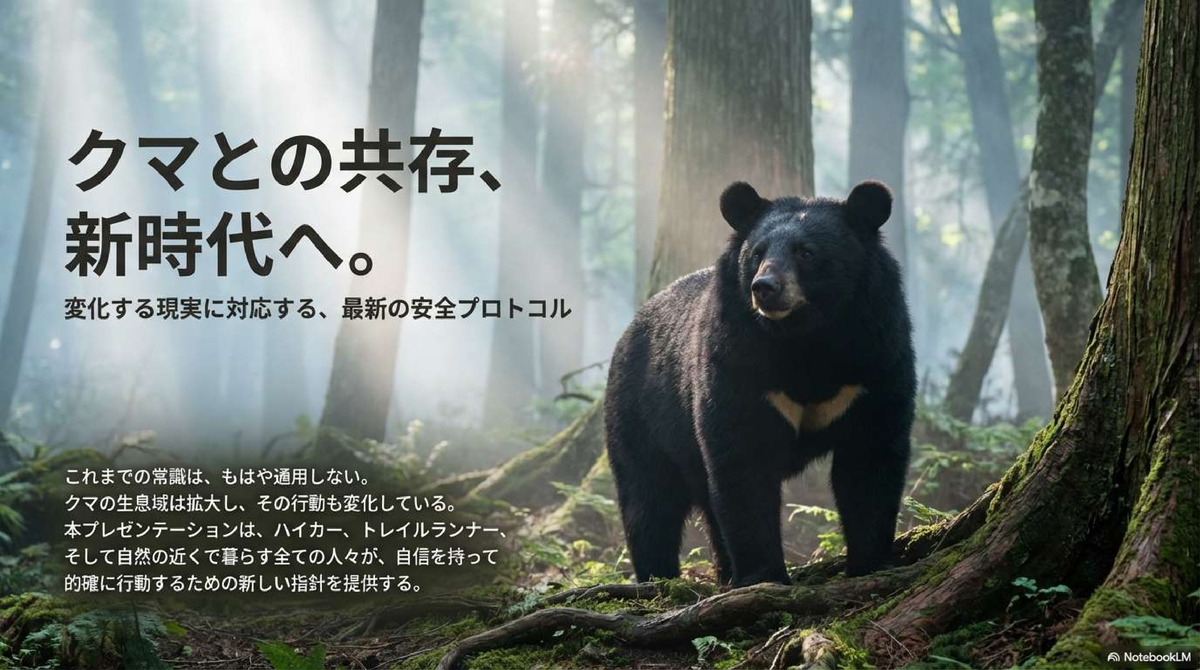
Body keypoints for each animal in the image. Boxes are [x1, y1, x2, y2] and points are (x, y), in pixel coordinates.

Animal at [604, 179, 915, 587]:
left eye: (807, 252)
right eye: (757, 252)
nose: (764, 287)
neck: (807, 337)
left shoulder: (877, 358)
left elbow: (870, 458)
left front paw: (872, 564)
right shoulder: (737, 359)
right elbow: (743, 462)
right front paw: (764, 576)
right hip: (643, 412)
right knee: (650, 497)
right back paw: (659, 577)